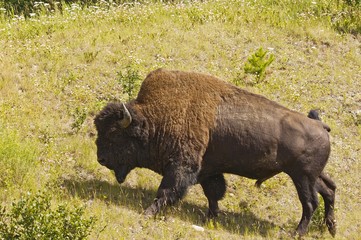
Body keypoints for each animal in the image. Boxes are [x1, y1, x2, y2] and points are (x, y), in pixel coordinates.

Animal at [94, 69, 336, 236]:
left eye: (114, 135)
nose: (101, 159)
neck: (154, 119)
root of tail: (320, 125)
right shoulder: (207, 170)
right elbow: (213, 193)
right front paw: (211, 217)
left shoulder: (181, 166)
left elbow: (167, 191)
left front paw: (148, 212)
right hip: (312, 176)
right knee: (329, 189)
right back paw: (331, 228)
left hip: (301, 177)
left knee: (310, 203)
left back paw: (297, 233)